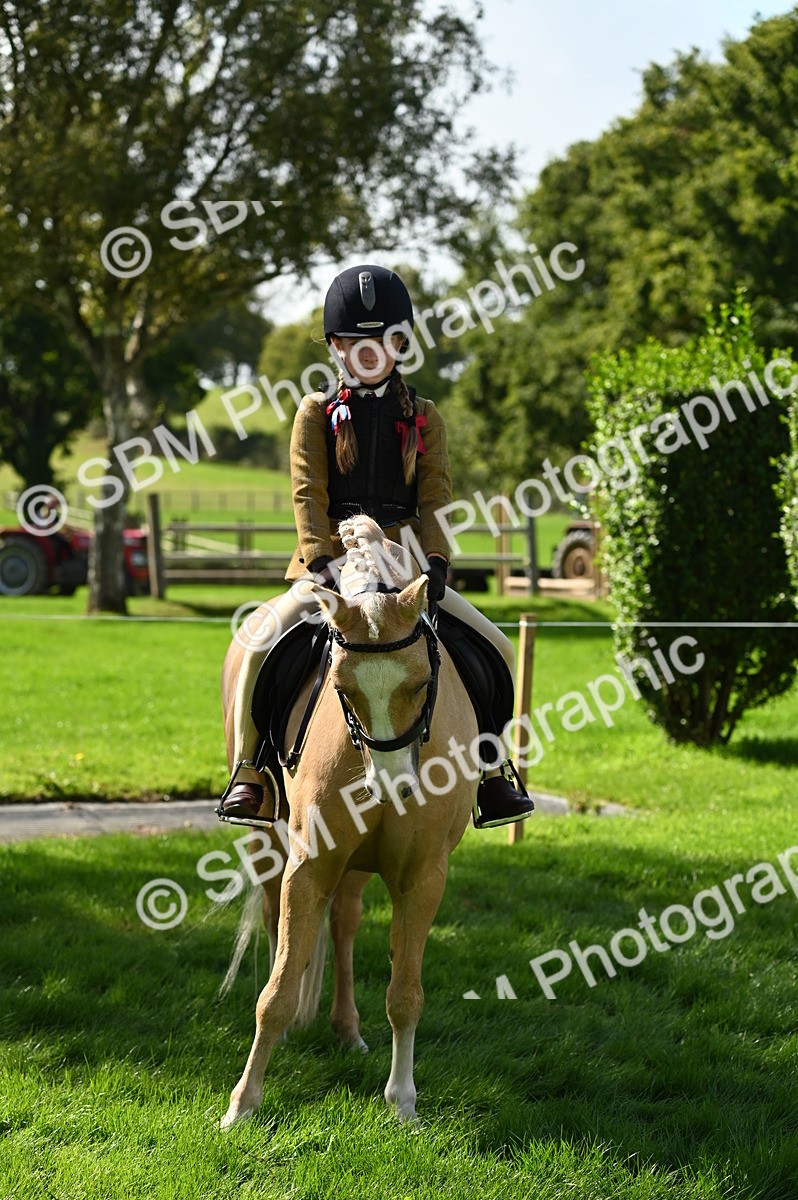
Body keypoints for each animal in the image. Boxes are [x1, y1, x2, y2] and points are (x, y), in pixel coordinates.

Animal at [219, 515, 479, 1127]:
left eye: (422, 683)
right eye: (340, 687)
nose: (389, 788)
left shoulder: (423, 877)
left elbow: (405, 994)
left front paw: (403, 1101)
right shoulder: (309, 866)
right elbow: (276, 990)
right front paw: (243, 1103)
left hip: (360, 865)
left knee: (344, 924)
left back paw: (347, 1029)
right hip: (269, 841)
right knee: (276, 918)